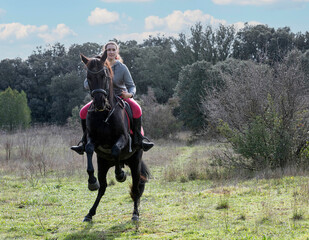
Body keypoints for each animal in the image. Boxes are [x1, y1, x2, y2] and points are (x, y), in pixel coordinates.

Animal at [79, 51, 149, 222]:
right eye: (88, 77)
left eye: (104, 75)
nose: (98, 101)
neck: (104, 113)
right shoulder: (92, 139)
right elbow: (89, 148)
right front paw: (91, 181)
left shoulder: (123, 138)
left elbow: (116, 149)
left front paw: (120, 175)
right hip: (103, 164)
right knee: (103, 187)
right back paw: (90, 213)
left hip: (135, 162)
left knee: (136, 186)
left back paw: (135, 213)